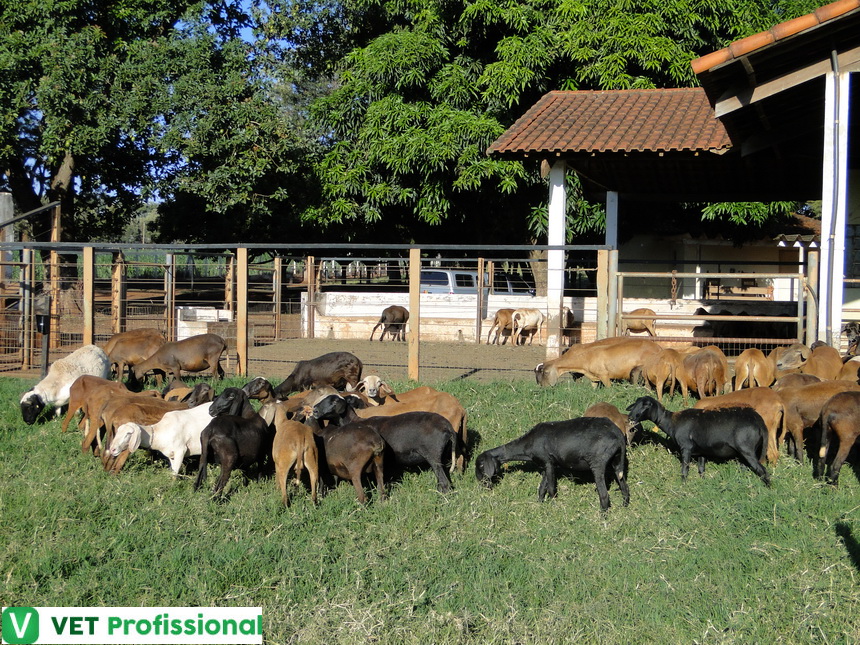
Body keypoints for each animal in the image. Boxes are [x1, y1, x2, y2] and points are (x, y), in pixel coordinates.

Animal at [314, 392, 456, 494]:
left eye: (334, 401)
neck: (353, 421)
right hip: (442, 454)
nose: (315, 410)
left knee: (444, 483)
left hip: (432, 453)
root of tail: (448, 426)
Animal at [474, 416, 628, 510]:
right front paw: (540, 505)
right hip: (617, 463)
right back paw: (624, 507)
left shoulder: (548, 462)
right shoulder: (546, 465)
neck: (527, 445)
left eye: (481, 466)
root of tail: (619, 435)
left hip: (597, 462)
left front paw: (554, 507)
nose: (482, 485)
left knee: (604, 495)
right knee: (624, 488)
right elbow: (542, 488)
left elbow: (551, 489)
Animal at [620, 394, 768, 486]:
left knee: (762, 470)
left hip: (747, 449)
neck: (671, 422)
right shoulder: (701, 451)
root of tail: (758, 420)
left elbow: (684, 470)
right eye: (635, 404)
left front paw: (683, 486)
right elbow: (701, 470)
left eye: (646, 405)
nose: (631, 417)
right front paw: (702, 484)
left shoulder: (686, 447)